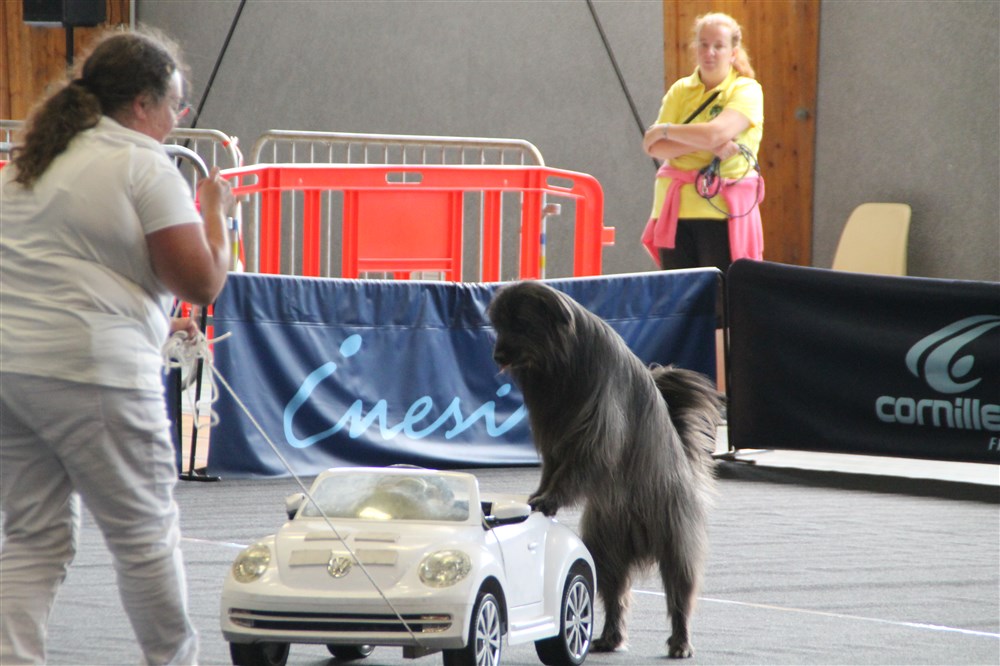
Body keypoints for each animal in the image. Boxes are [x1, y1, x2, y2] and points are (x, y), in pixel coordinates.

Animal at [488, 281, 722, 659]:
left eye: (520, 323)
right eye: (499, 325)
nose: (497, 355)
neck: (564, 363)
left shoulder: (596, 428)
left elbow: (584, 460)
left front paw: (549, 499)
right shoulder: (554, 439)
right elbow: (553, 466)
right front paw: (540, 495)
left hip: (675, 539)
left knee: (679, 593)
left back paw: (681, 642)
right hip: (605, 546)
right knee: (614, 594)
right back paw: (610, 637)